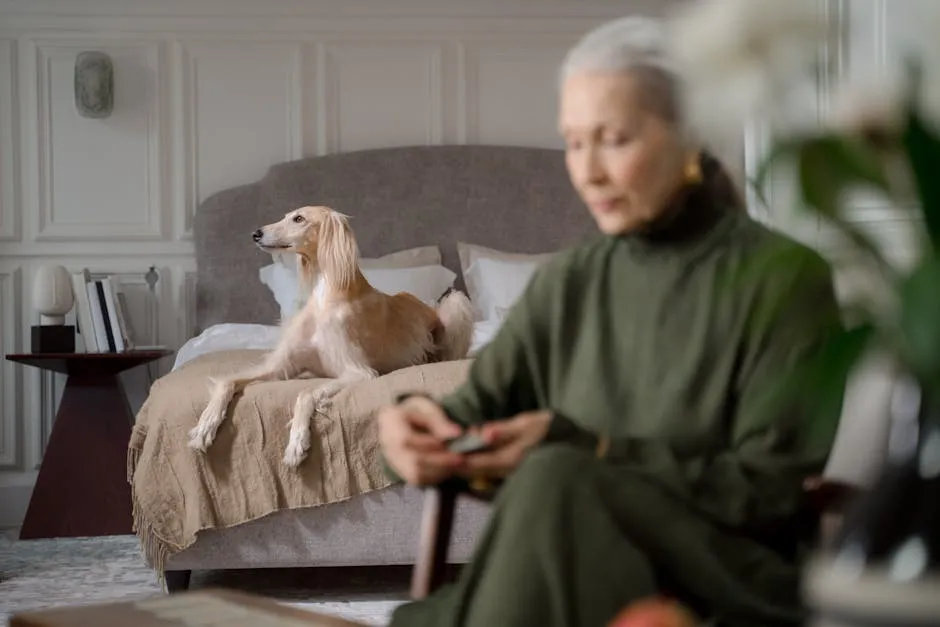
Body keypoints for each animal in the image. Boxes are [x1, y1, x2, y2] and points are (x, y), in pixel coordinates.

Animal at [187, 204, 474, 468]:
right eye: (286, 215)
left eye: (299, 218)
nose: (255, 234)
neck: (326, 295)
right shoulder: (282, 367)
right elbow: (227, 381)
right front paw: (205, 426)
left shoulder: (359, 371)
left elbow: (305, 393)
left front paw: (297, 442)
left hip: (456, 302)